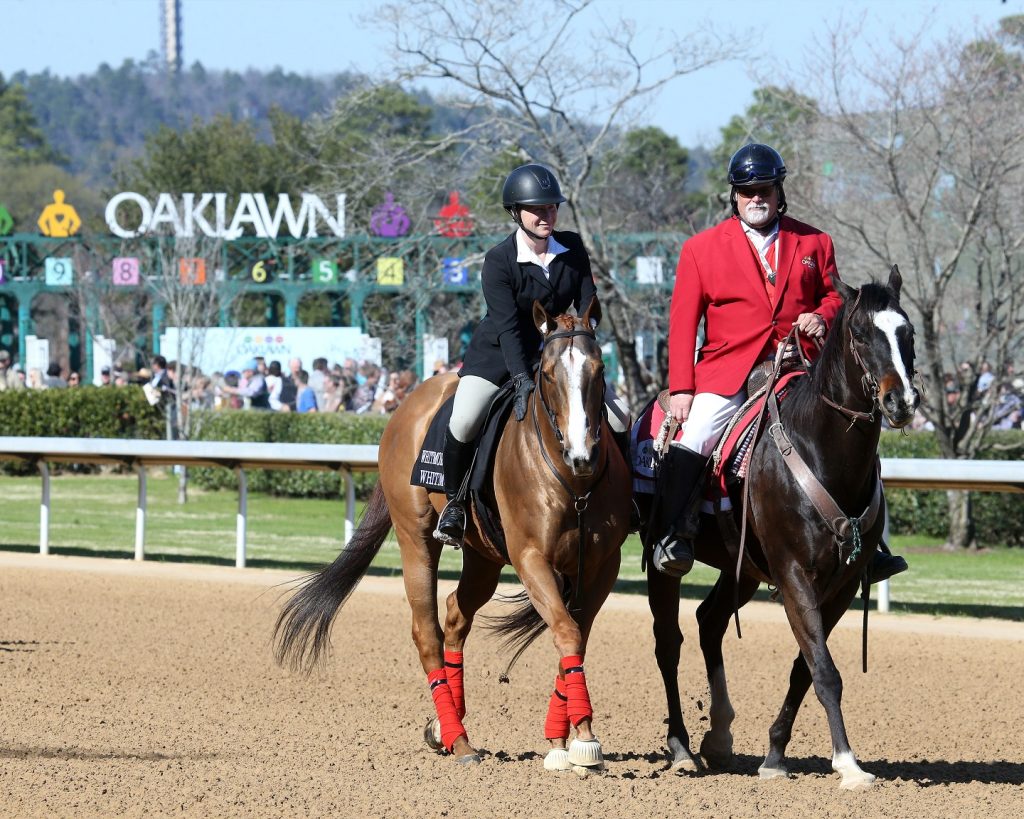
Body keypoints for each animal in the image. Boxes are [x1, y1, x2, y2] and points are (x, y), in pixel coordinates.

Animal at [272, 296, 630, 769]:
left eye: (600, 369)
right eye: (549, 373)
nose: (582, 454)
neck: (574, 483)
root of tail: (410, 402)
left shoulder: (603, 566)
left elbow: (575, 636)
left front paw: (567, 738)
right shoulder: (532, 559)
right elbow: (567, 631)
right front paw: (581, 738)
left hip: (484, 559)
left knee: (456, 617)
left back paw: (447, 726)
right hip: (417, 540)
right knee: (427, 632)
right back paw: (459, 740)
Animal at [643, 266, 917, 786]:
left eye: (907, 332)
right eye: (860, 333)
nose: (902, 401)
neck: (822, 452)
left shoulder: (841, 585)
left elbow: (805, 669)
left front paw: (774, 754)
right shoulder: (794, 576)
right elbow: (825, 671)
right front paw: (848, 763)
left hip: (743, 568)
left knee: (709, 623)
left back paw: (719, 737)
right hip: (660, 563)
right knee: (669, 643)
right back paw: (681, 746)